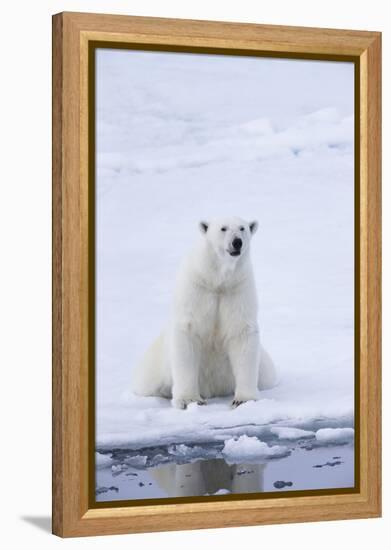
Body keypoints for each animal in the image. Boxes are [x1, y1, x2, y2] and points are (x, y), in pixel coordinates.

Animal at [132, 217, 278, 410]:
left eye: (242, 228)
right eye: (223, 228)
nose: (237, 242)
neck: (217, 279)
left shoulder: (237, 289)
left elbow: (241, 333)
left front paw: (244, 400)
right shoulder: (197, 288)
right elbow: (188, 332)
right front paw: (190, 400)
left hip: (263, 366)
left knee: (269, 375)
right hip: (154, 366)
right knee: (146, 382)